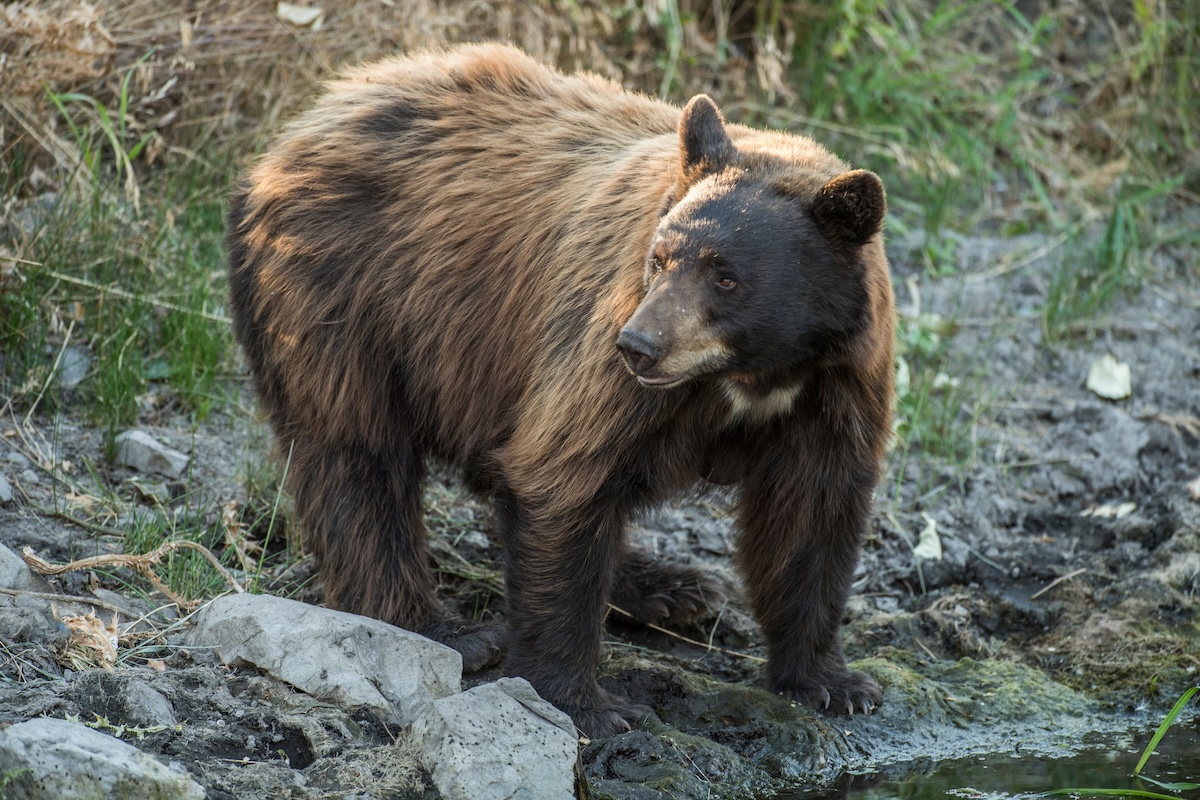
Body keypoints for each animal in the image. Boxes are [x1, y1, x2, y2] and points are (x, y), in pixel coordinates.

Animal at [226, 43, 895, 739]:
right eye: (660, 258)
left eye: (727, 277)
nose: (639, 345)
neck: (757, 371)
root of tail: (300, 128)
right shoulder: (605, 349)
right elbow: (562, 478)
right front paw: (588, 703)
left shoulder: (837, 386)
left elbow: (811, 516)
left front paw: (832, 682)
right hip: (345, 294)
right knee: (357, 457)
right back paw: (445, 629)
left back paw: (671, 588)